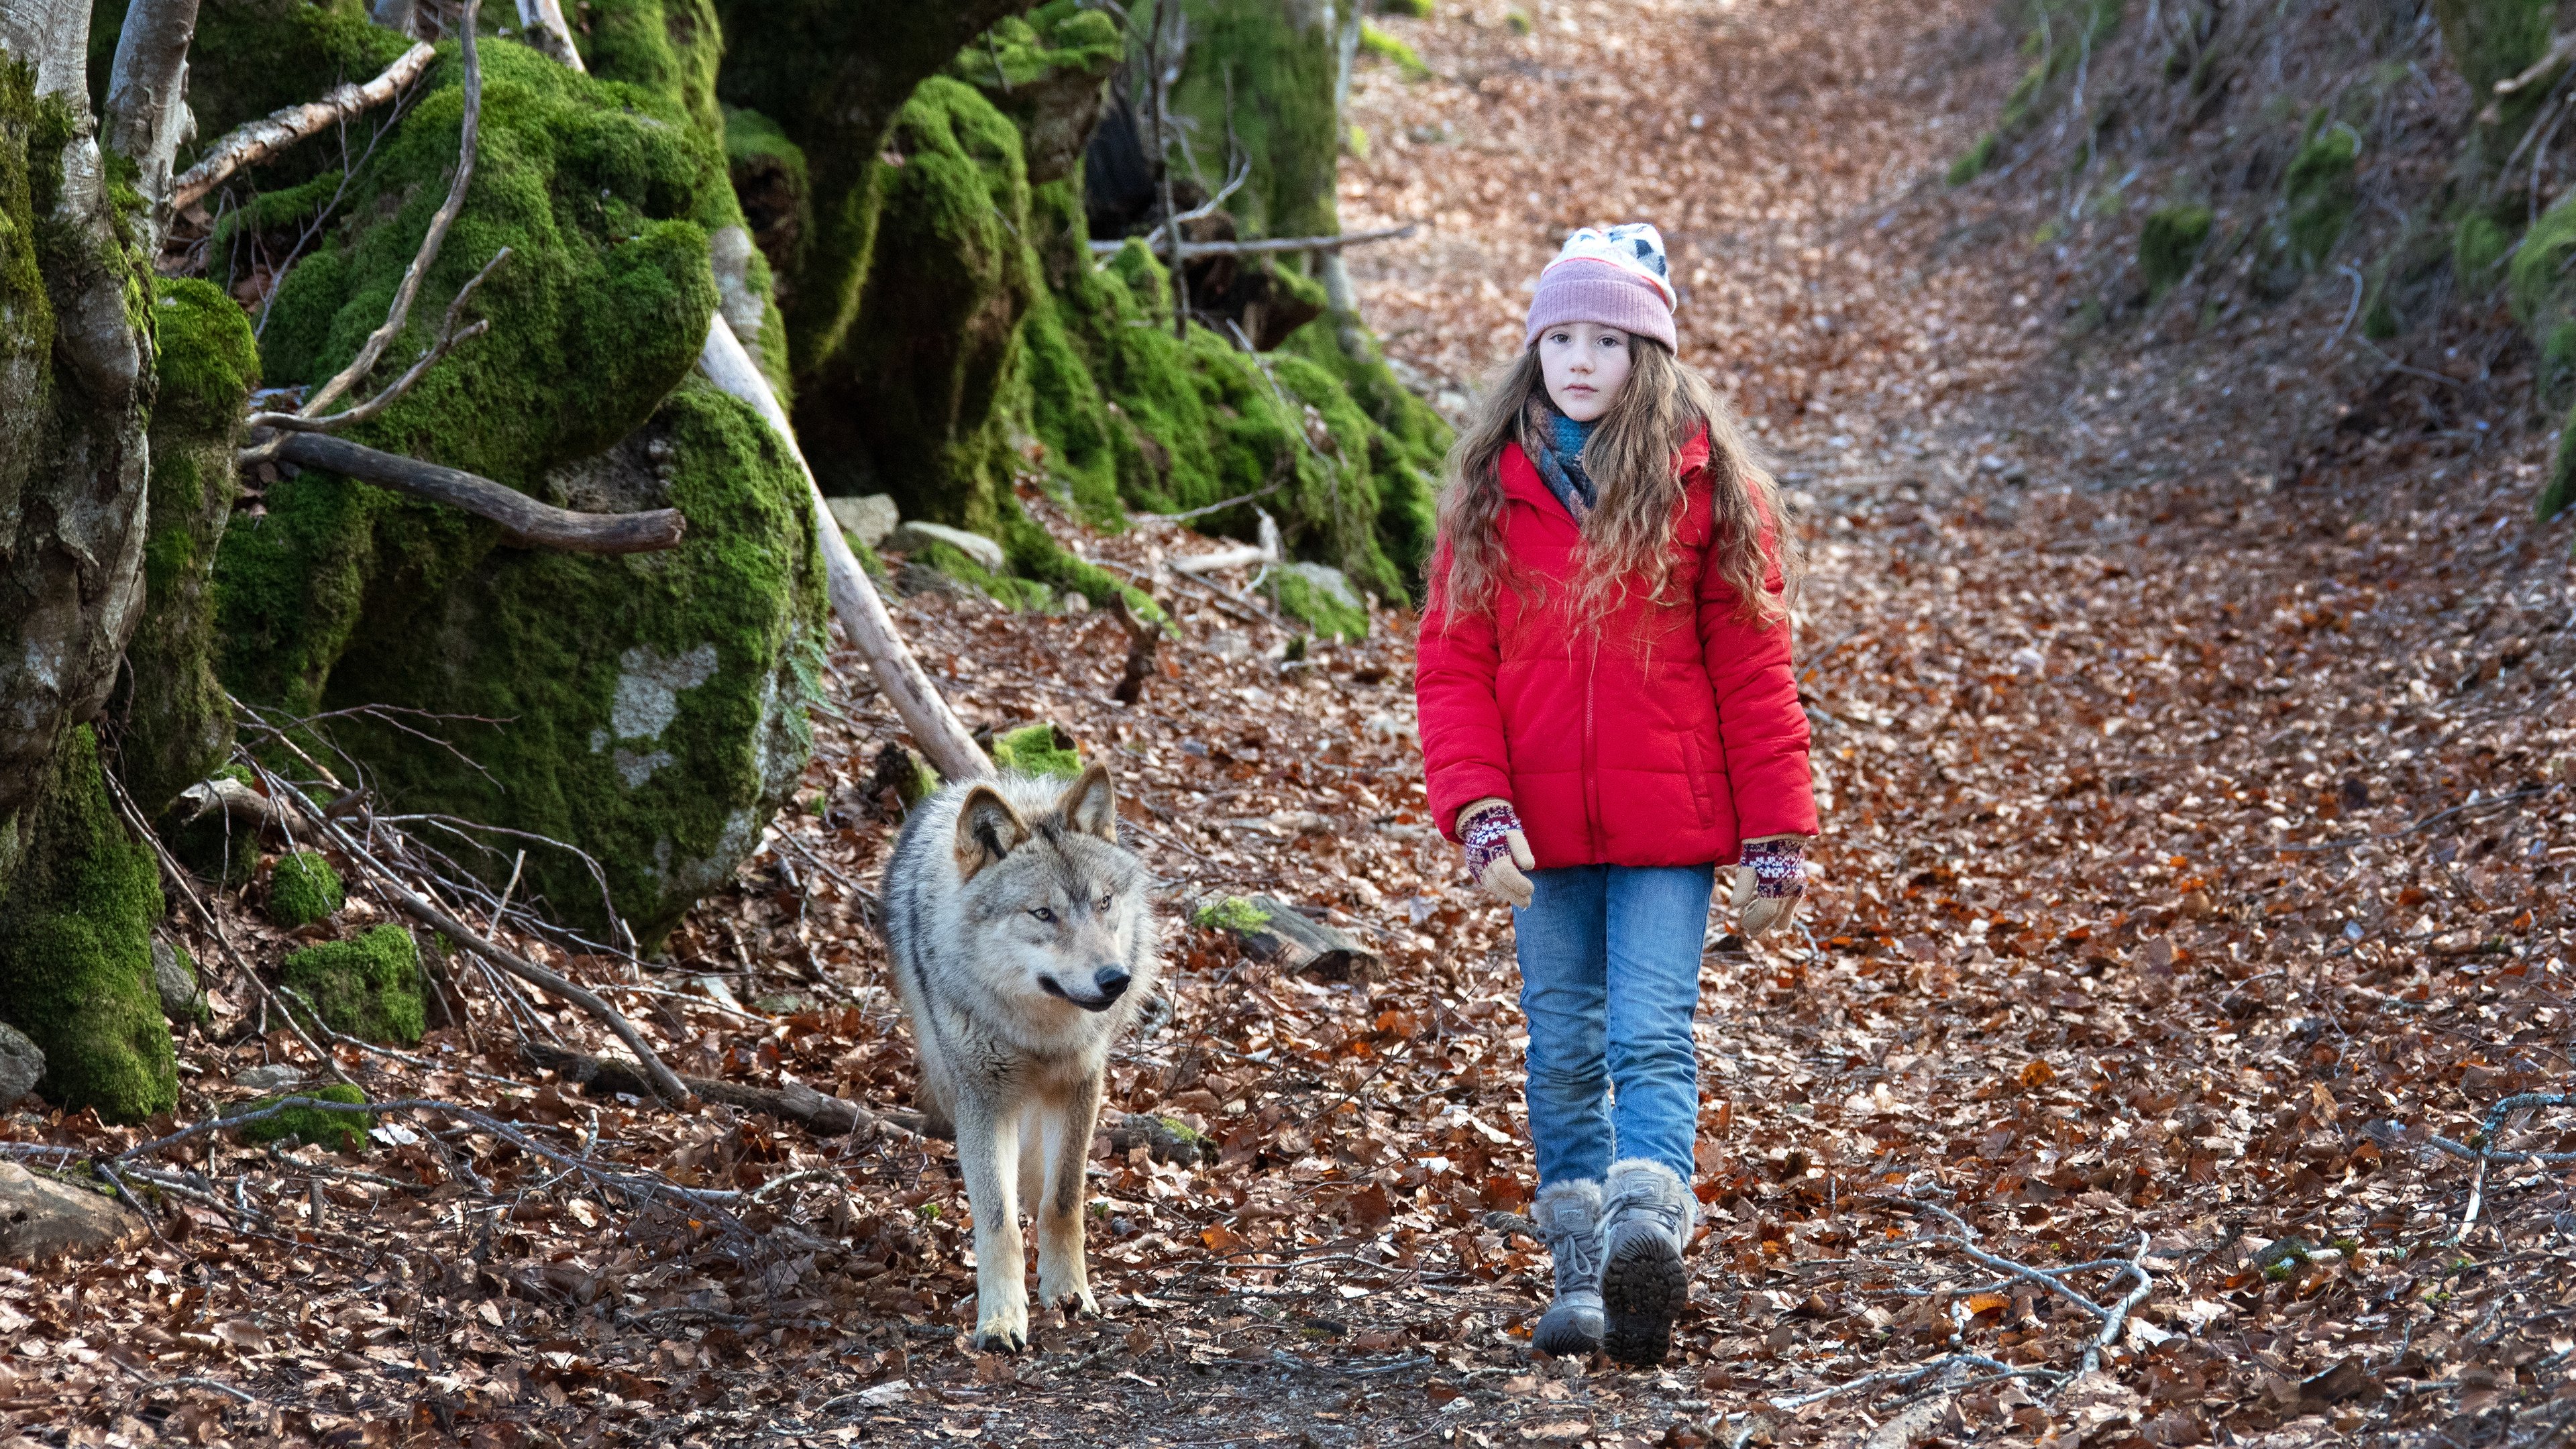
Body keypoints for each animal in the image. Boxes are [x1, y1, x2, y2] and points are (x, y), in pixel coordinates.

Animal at [885, 763, 1169, 1350]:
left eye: (1104, 903)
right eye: (1043, 914)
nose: (1116, 979)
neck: (1039, 1034)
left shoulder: (1081, 1083)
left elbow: (1063, 1201)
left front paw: (1069, 1295)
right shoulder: (983, 1100)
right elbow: (998, 1223)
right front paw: (1000, 1320)